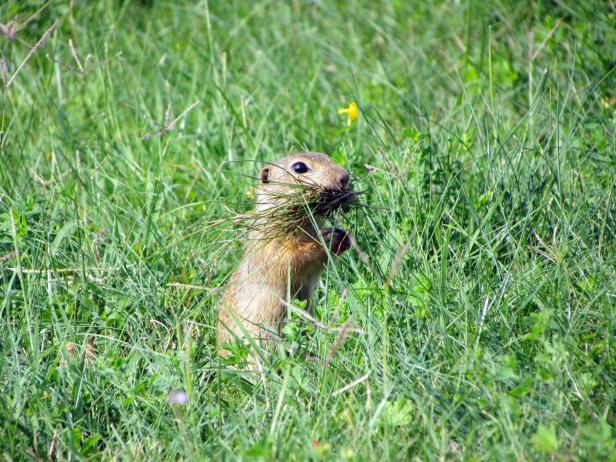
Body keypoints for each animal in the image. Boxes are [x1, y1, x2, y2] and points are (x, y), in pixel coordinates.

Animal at [217, 152, 354, 360]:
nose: (345, 177)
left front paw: (344, 236)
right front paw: (330, 238)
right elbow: (292, 258)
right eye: (299, 167)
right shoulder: (272, 245)